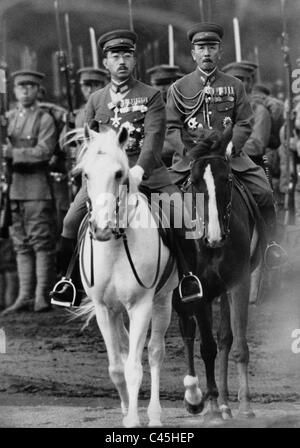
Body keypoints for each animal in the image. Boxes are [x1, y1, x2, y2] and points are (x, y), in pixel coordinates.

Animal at [74, 123, 178, 428]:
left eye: (119, 173)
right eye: (85, 174)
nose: (101, 229)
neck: (116, 245)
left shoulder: (141, 306)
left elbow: (134, 366)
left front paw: (133, 419)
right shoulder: (104, 309)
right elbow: (116, 367)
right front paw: (124, 409)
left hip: (163, 301)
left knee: (155, 352)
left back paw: (154, 415)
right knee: (125, 349)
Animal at [172, 128, 262, 422]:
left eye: (228, 179)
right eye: (195, 181)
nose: (213, 237)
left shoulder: (239, 283)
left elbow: (236, 344)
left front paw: (243, 404)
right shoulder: (197, 289)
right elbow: (207, 348)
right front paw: (209, 405)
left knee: (224, 338)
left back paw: (224, 403)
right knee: (188, 332)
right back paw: (194, 398)